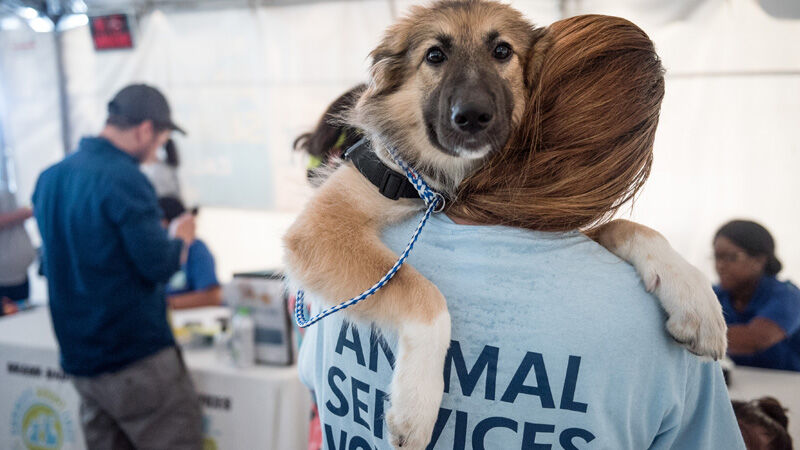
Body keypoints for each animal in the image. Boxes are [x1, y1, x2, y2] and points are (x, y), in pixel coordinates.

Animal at [282, 2, 724, 446]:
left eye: (502, 51)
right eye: (434, 55)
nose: (473, 117)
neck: (447, 185)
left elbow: (626, 228)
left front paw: (693, 296)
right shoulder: (321, 225)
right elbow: (424, 294)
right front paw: (417, 403)